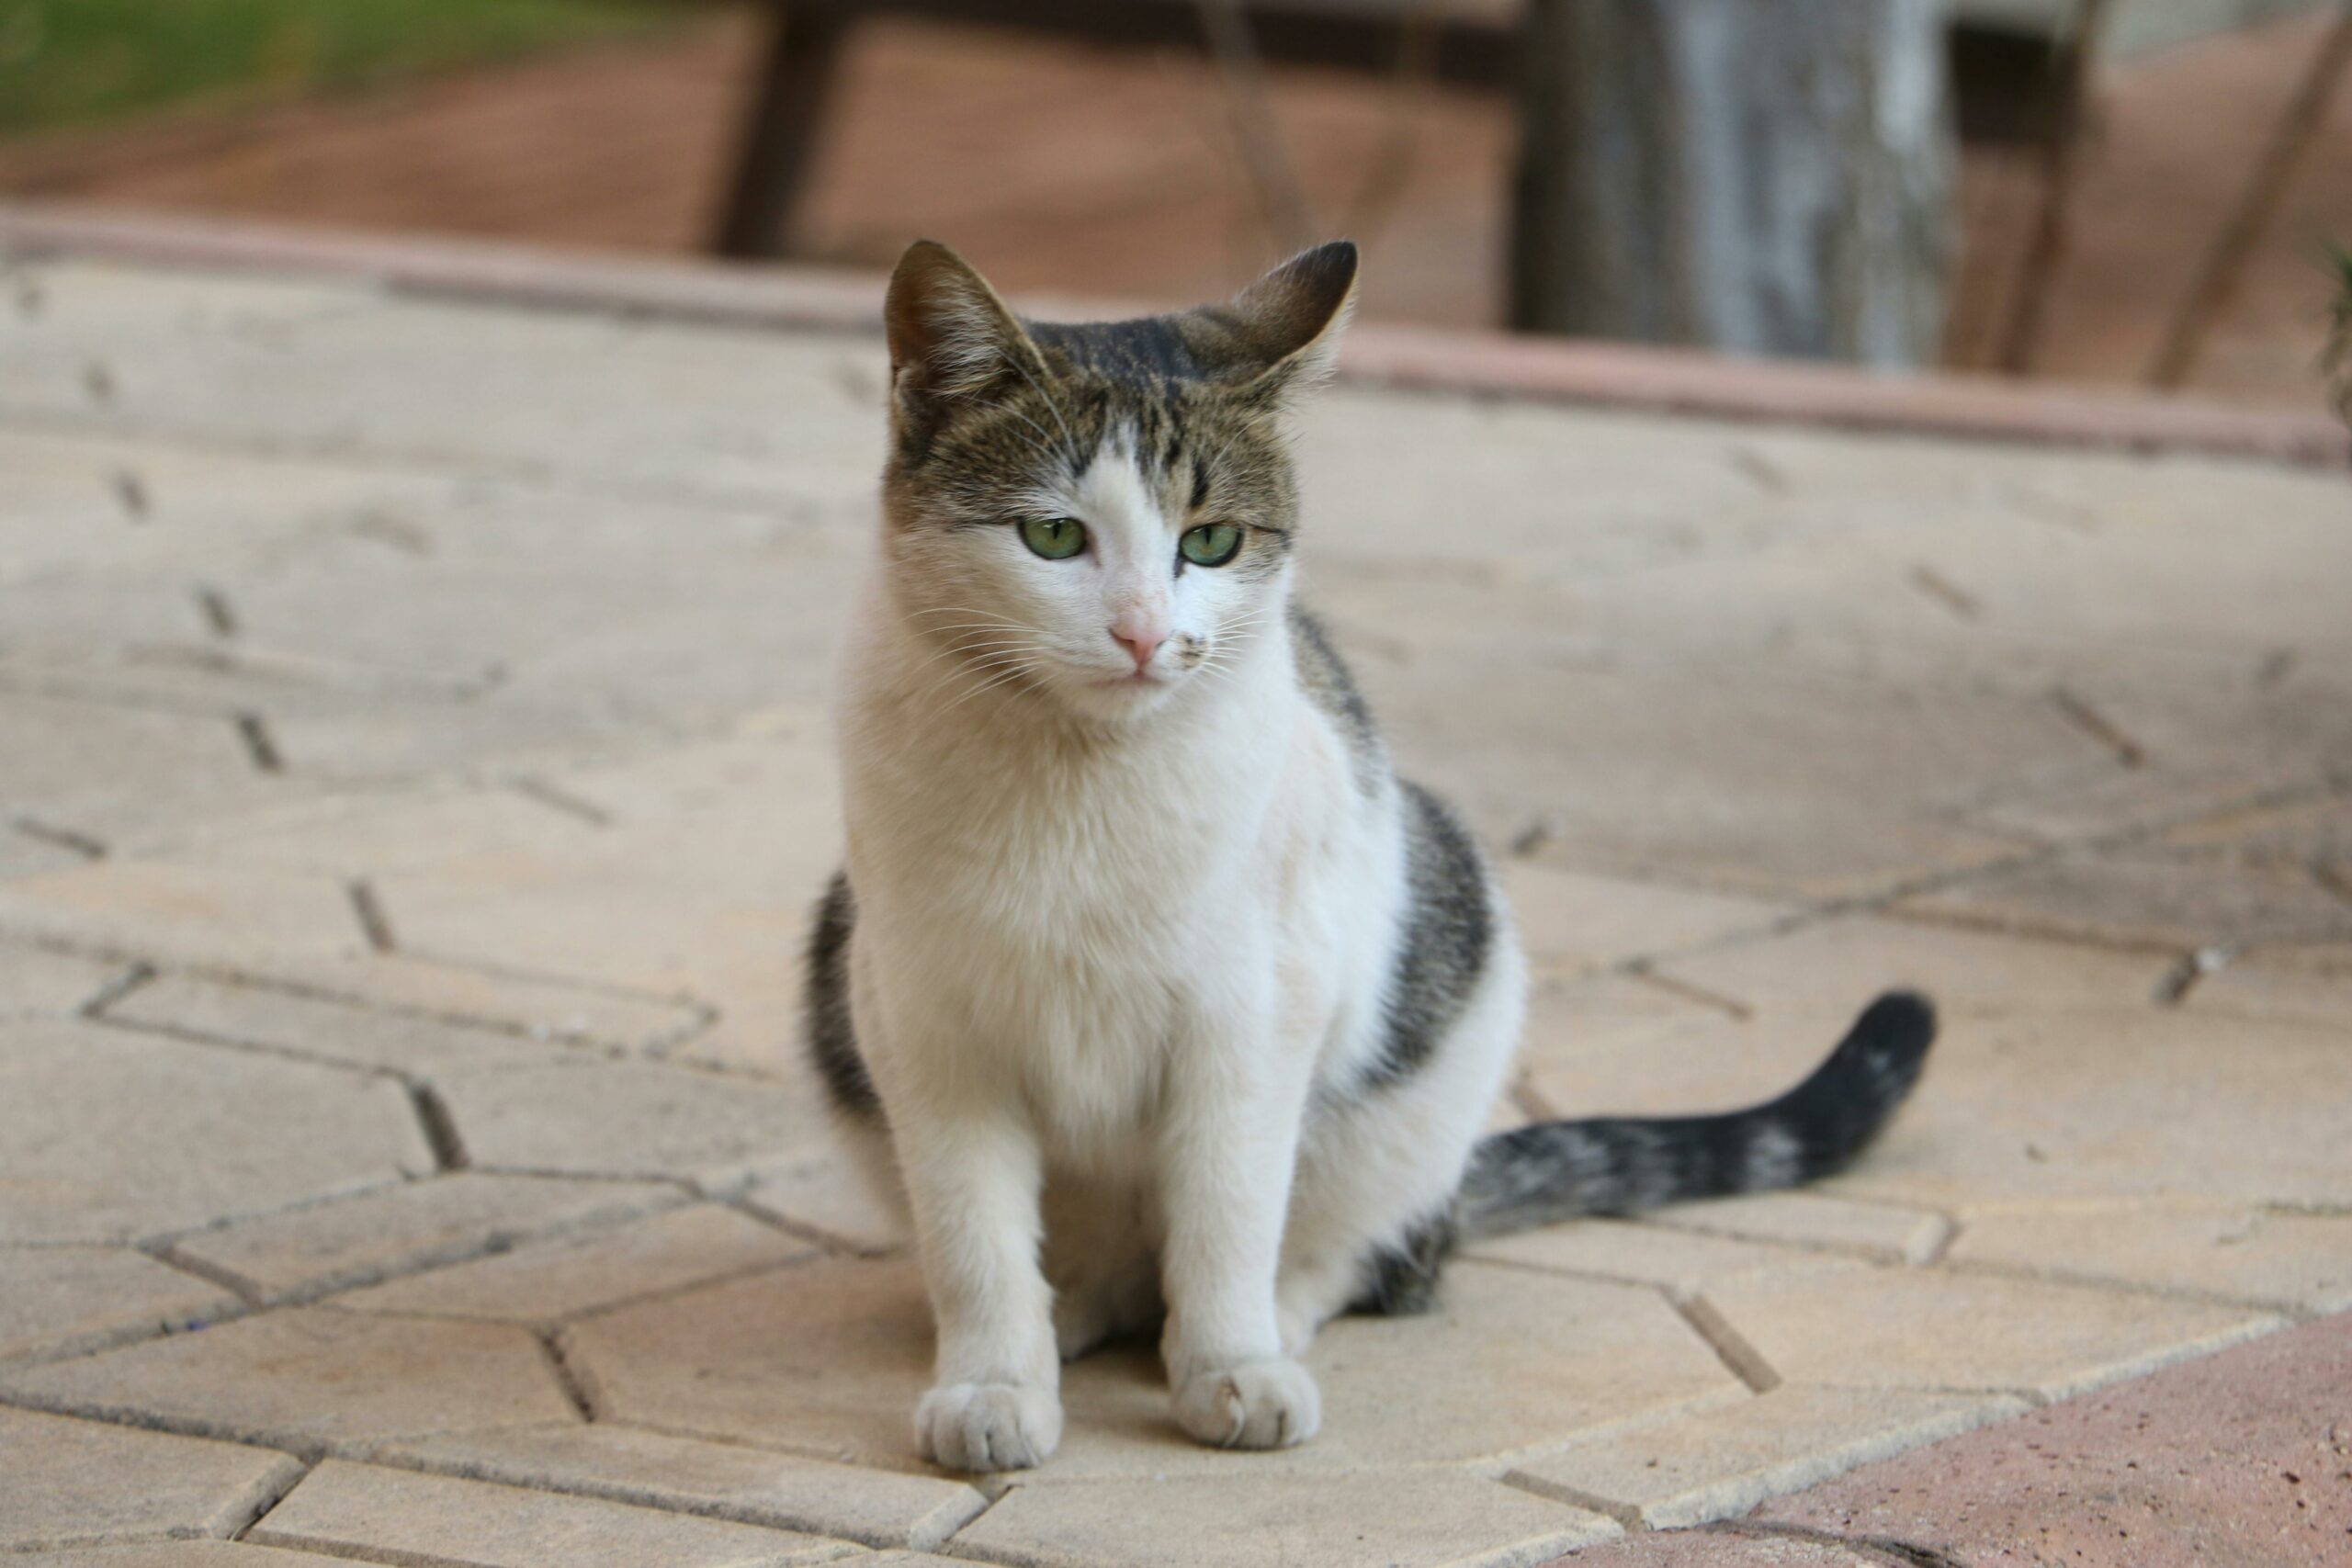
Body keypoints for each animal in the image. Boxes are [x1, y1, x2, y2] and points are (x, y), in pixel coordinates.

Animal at [804, 232, 1928, 1476]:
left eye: (1209, 542)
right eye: (1053, 534)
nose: (1144, 635)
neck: (1077, 783)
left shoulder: (1253, 1014)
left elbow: (1230, 1211)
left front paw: (1232, 1367)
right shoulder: (918, 1023)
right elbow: (975, 1237)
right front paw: (995, 1381)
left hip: (1447, 992)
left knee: (1378, 1253)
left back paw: (1265, 1320)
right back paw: (1079, 1308)